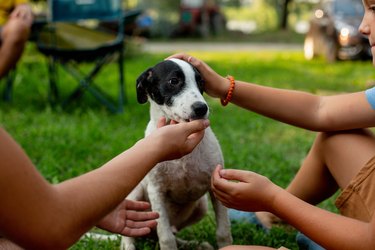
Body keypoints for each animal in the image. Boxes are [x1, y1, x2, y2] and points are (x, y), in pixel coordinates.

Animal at [121, 59, 232, 250]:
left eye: (201, 82)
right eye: (174, 81)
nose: (201, 108)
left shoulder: (216, 184)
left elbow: (223, 231)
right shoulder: (156, 190)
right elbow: (166, 237)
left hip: (201, 207)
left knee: (171, 232)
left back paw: (194, 244)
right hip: (135, 194)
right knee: (129, 235)